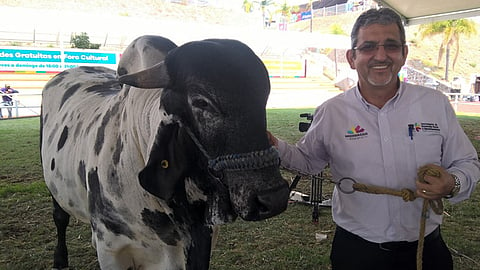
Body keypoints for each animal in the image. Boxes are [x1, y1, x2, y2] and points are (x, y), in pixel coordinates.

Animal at [41, 34, 288, 268]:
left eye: (264, 98)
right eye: (201, 102)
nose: (273, 198)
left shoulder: (202, 240)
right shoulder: (111, 248)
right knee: (59, 217)